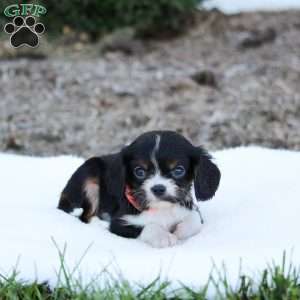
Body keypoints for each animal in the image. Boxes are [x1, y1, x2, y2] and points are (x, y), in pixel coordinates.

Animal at [58, 130, 220, 247]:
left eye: (178, 170)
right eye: (139, 172)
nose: (158, 188)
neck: (161, 208)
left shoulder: (190, 209)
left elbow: (194, 221)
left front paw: (180, 231)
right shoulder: (121, 223)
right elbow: (147, 227)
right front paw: (163, 237)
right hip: (89, 176)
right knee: (84, 215)